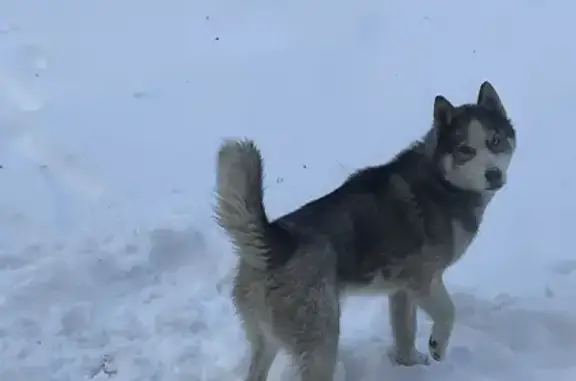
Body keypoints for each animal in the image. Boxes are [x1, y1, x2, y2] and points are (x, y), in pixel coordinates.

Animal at [215, 81, 516, 378]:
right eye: (465, 150)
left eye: (495, 141)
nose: (493, 175)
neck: (442, 181)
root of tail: (276, 244)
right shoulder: (423, 280)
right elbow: (448, 313)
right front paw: (437, 347)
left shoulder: (401, 290)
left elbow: (404, 333)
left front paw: (409, 364)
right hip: (322, 341)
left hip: (267, 342)